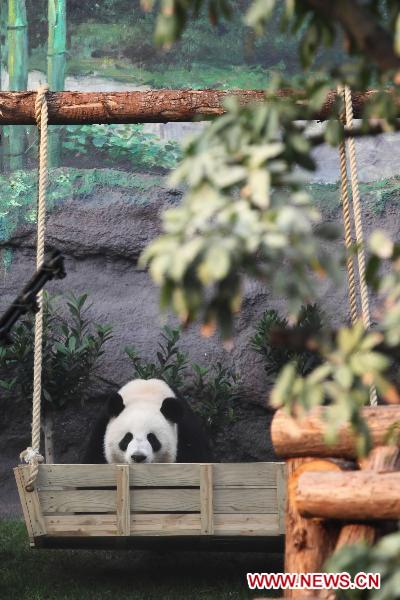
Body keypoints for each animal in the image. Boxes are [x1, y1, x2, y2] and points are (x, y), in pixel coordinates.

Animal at [83, 380, 212, 464]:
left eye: (152, 438)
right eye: (127, 437)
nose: (138, 457)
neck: (146, 395)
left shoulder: (188, 433)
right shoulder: (100, 429)